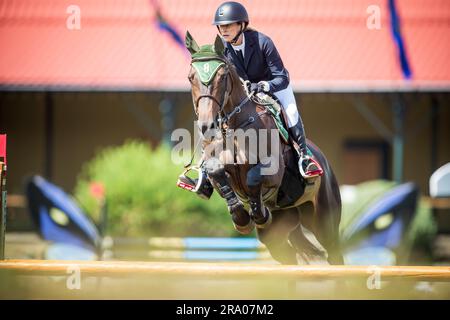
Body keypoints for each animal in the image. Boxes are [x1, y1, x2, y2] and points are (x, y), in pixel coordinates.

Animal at [185, 32, 342, 264]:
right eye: (191, 78)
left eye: (222, 77)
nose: (207, 126)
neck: (235, 128)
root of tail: (325, 162)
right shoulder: (217, 168)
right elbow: (217, 172)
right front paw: (242, 219)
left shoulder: (273, 171)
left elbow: (253, 177)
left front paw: (258, 214)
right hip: (282, 228)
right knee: (287, 255)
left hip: (324, 220)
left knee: (334, 253)